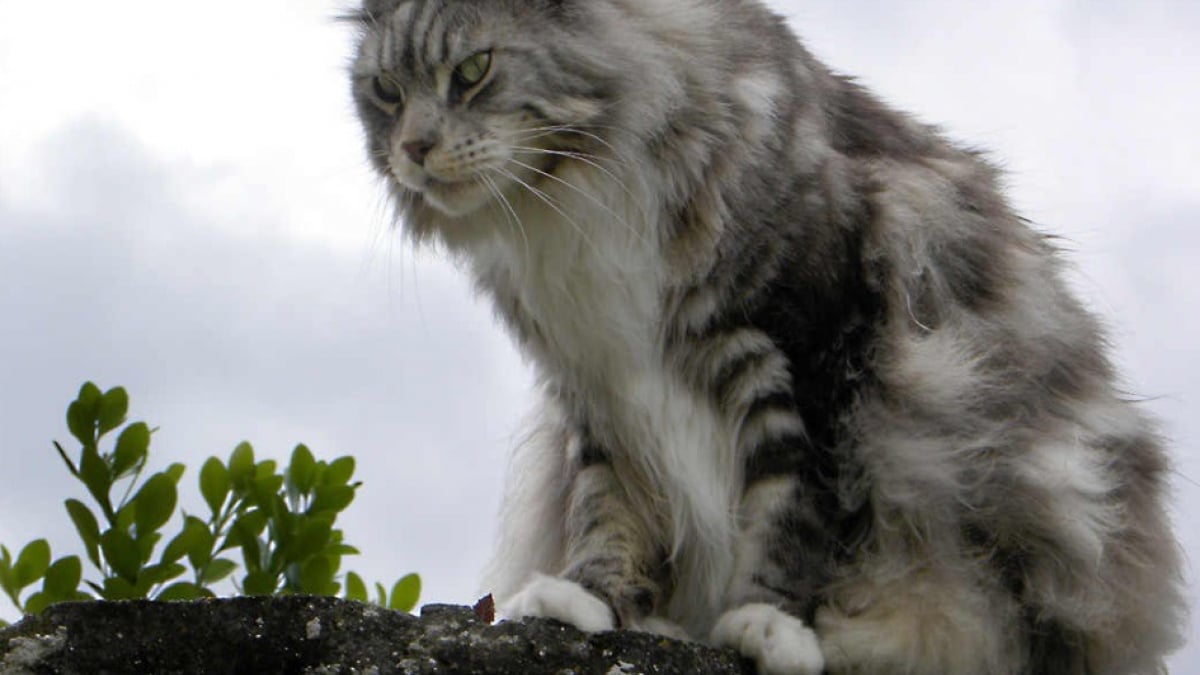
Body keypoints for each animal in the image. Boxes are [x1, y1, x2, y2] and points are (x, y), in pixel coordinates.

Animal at [350, 2, 1190, 667]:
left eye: (473, 70)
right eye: (386, 91)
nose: (414, 149)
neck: (570, 202)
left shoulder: (812, 349)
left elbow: (795, 508)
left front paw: (772, 623)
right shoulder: (599, 380)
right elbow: (607, 506)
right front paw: (587, 600)